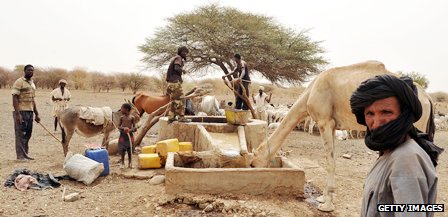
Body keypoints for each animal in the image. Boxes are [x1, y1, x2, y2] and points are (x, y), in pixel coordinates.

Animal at [250, 60, 432, 212]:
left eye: (253, 161)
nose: (252, 167)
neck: (310, 92)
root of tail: (428, 99)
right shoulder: (332, 125)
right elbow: (330, 159)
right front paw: (323, 197)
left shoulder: (324, 121)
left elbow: (329, 161)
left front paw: (327, 205)